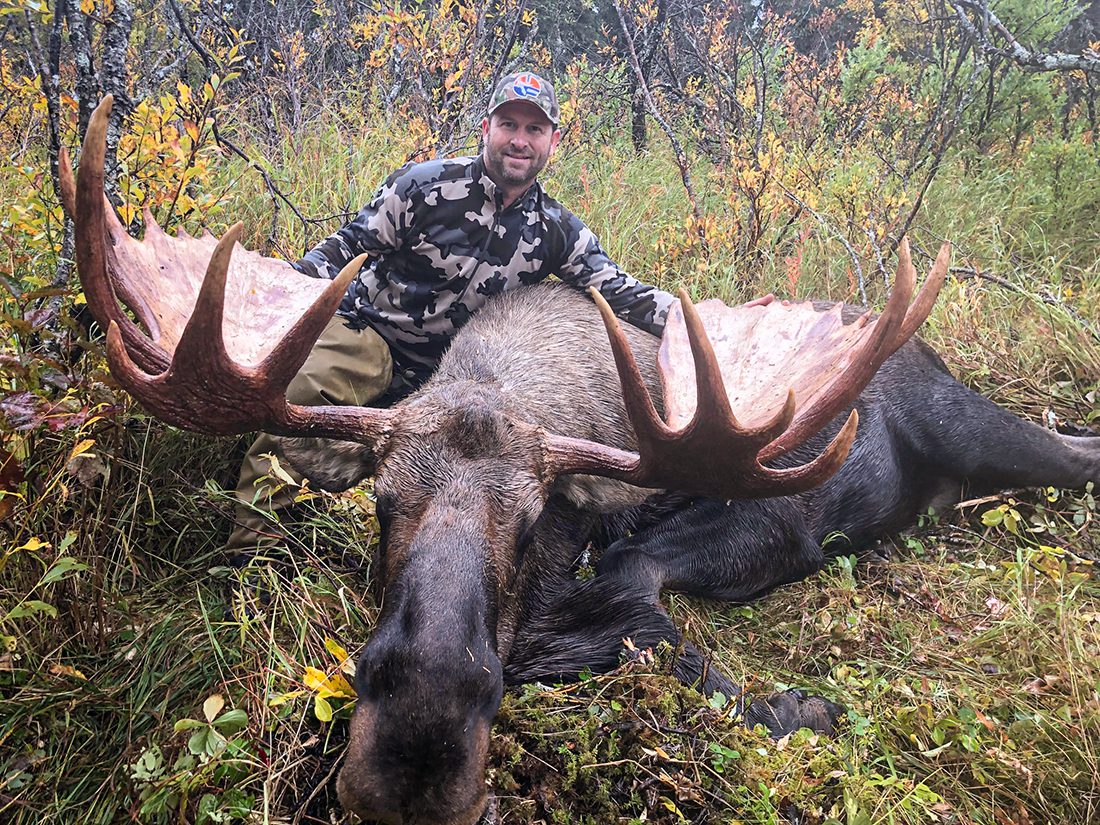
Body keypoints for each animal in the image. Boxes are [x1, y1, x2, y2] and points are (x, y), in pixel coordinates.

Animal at [66, 97, 1100, 825]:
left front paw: (802, 707)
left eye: (535, 521)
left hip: (969, 421)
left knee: (1070, 450)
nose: (413, 761)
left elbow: (653, 619)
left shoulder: (654, 549)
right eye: (383, 505)